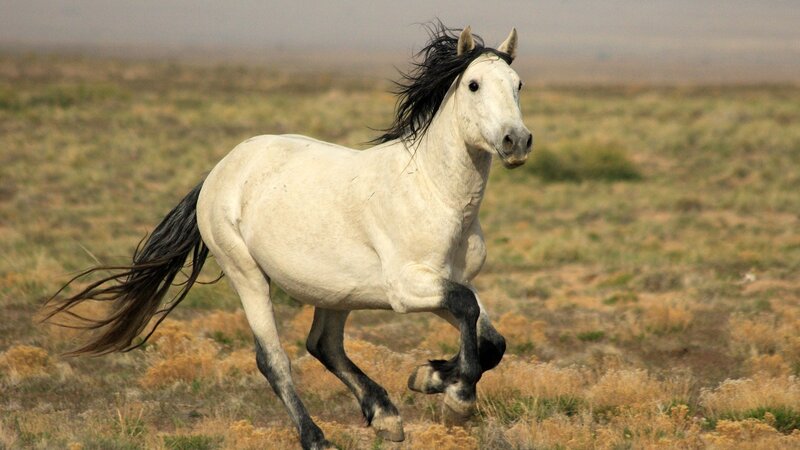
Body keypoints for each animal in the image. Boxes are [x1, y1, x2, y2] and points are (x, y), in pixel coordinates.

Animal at [44, 24, 532, 449]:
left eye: (518, 84)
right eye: (473, 85)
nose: (516, 141)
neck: (433, 193)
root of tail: (220, 171)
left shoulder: (449, 281)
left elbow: (490, 340)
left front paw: (427, 376)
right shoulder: (407, 288)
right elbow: (468, 311)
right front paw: (456, 398)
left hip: (338, 292)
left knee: (324, 345)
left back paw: (385, 416)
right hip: (247, 275)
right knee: (274, 360)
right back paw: (317, 438)